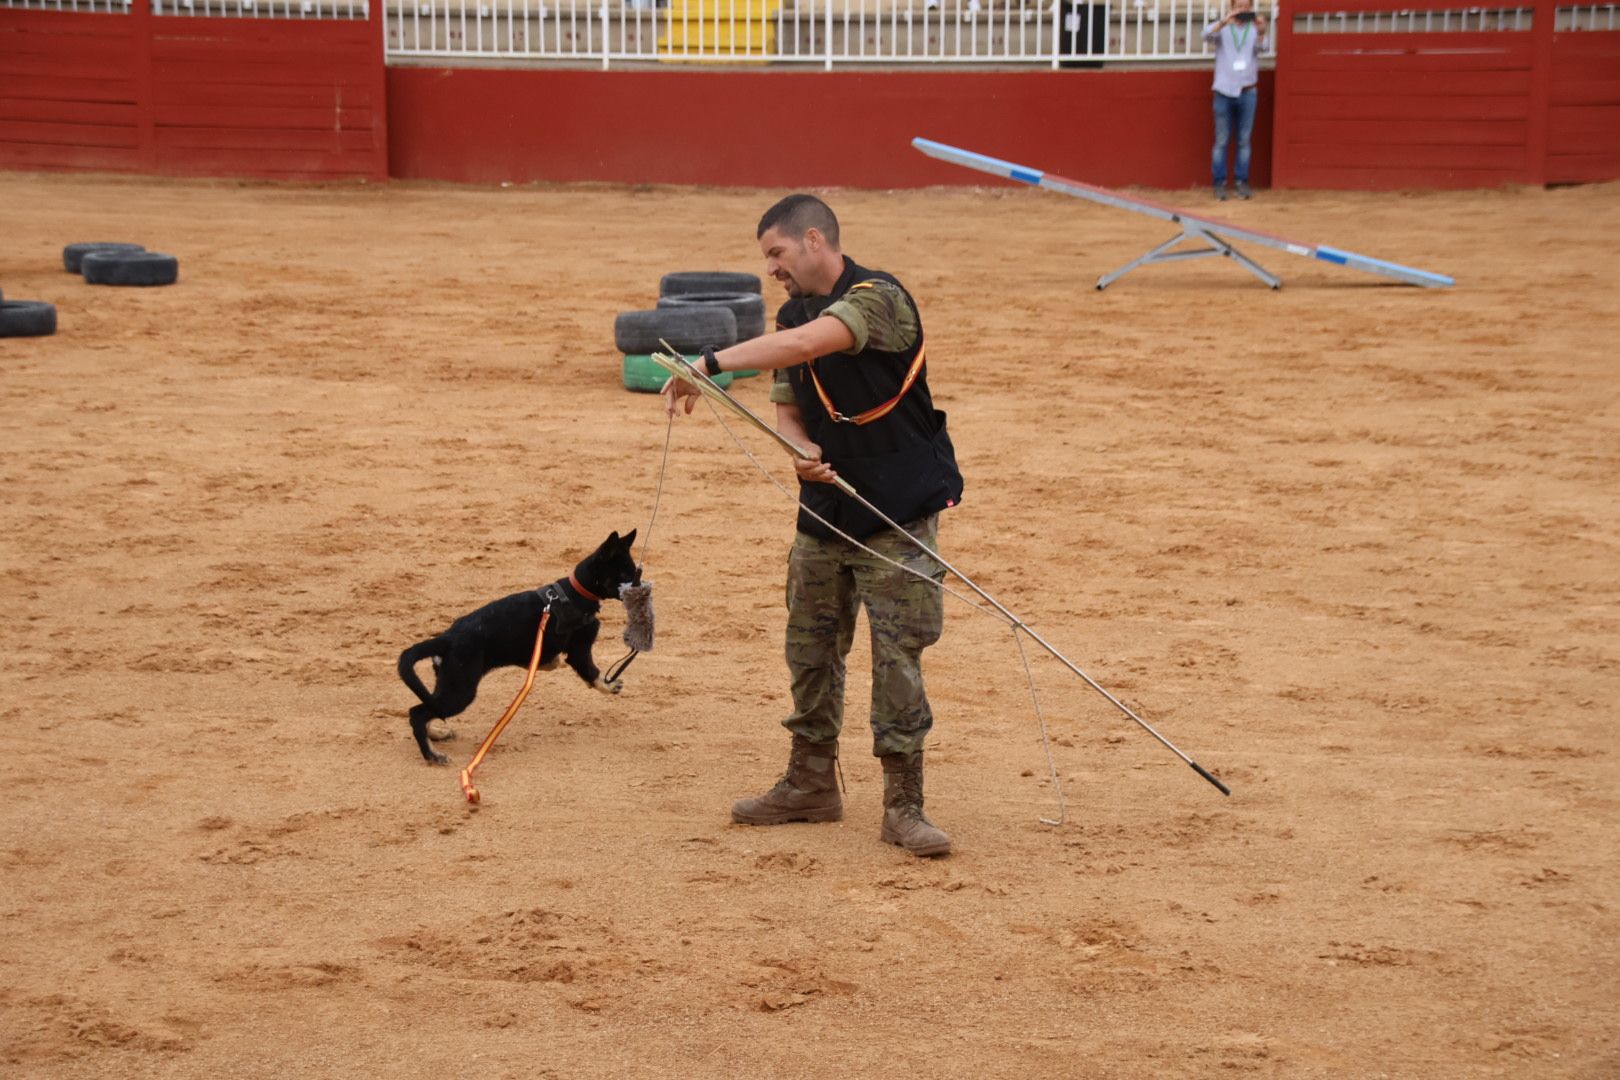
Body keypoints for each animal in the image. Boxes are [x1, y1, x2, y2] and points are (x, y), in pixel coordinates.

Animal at [398, 527, 638, 764]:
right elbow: (592, 673)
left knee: (427, 708)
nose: (640, 590)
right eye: (625, 576)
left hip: (448, 684)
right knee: (417, 714)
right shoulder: (580, 650)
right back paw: (432, 755)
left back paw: (436, 734)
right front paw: (610, 686)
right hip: (460, 690)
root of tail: (447, 638)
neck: (576, 592)